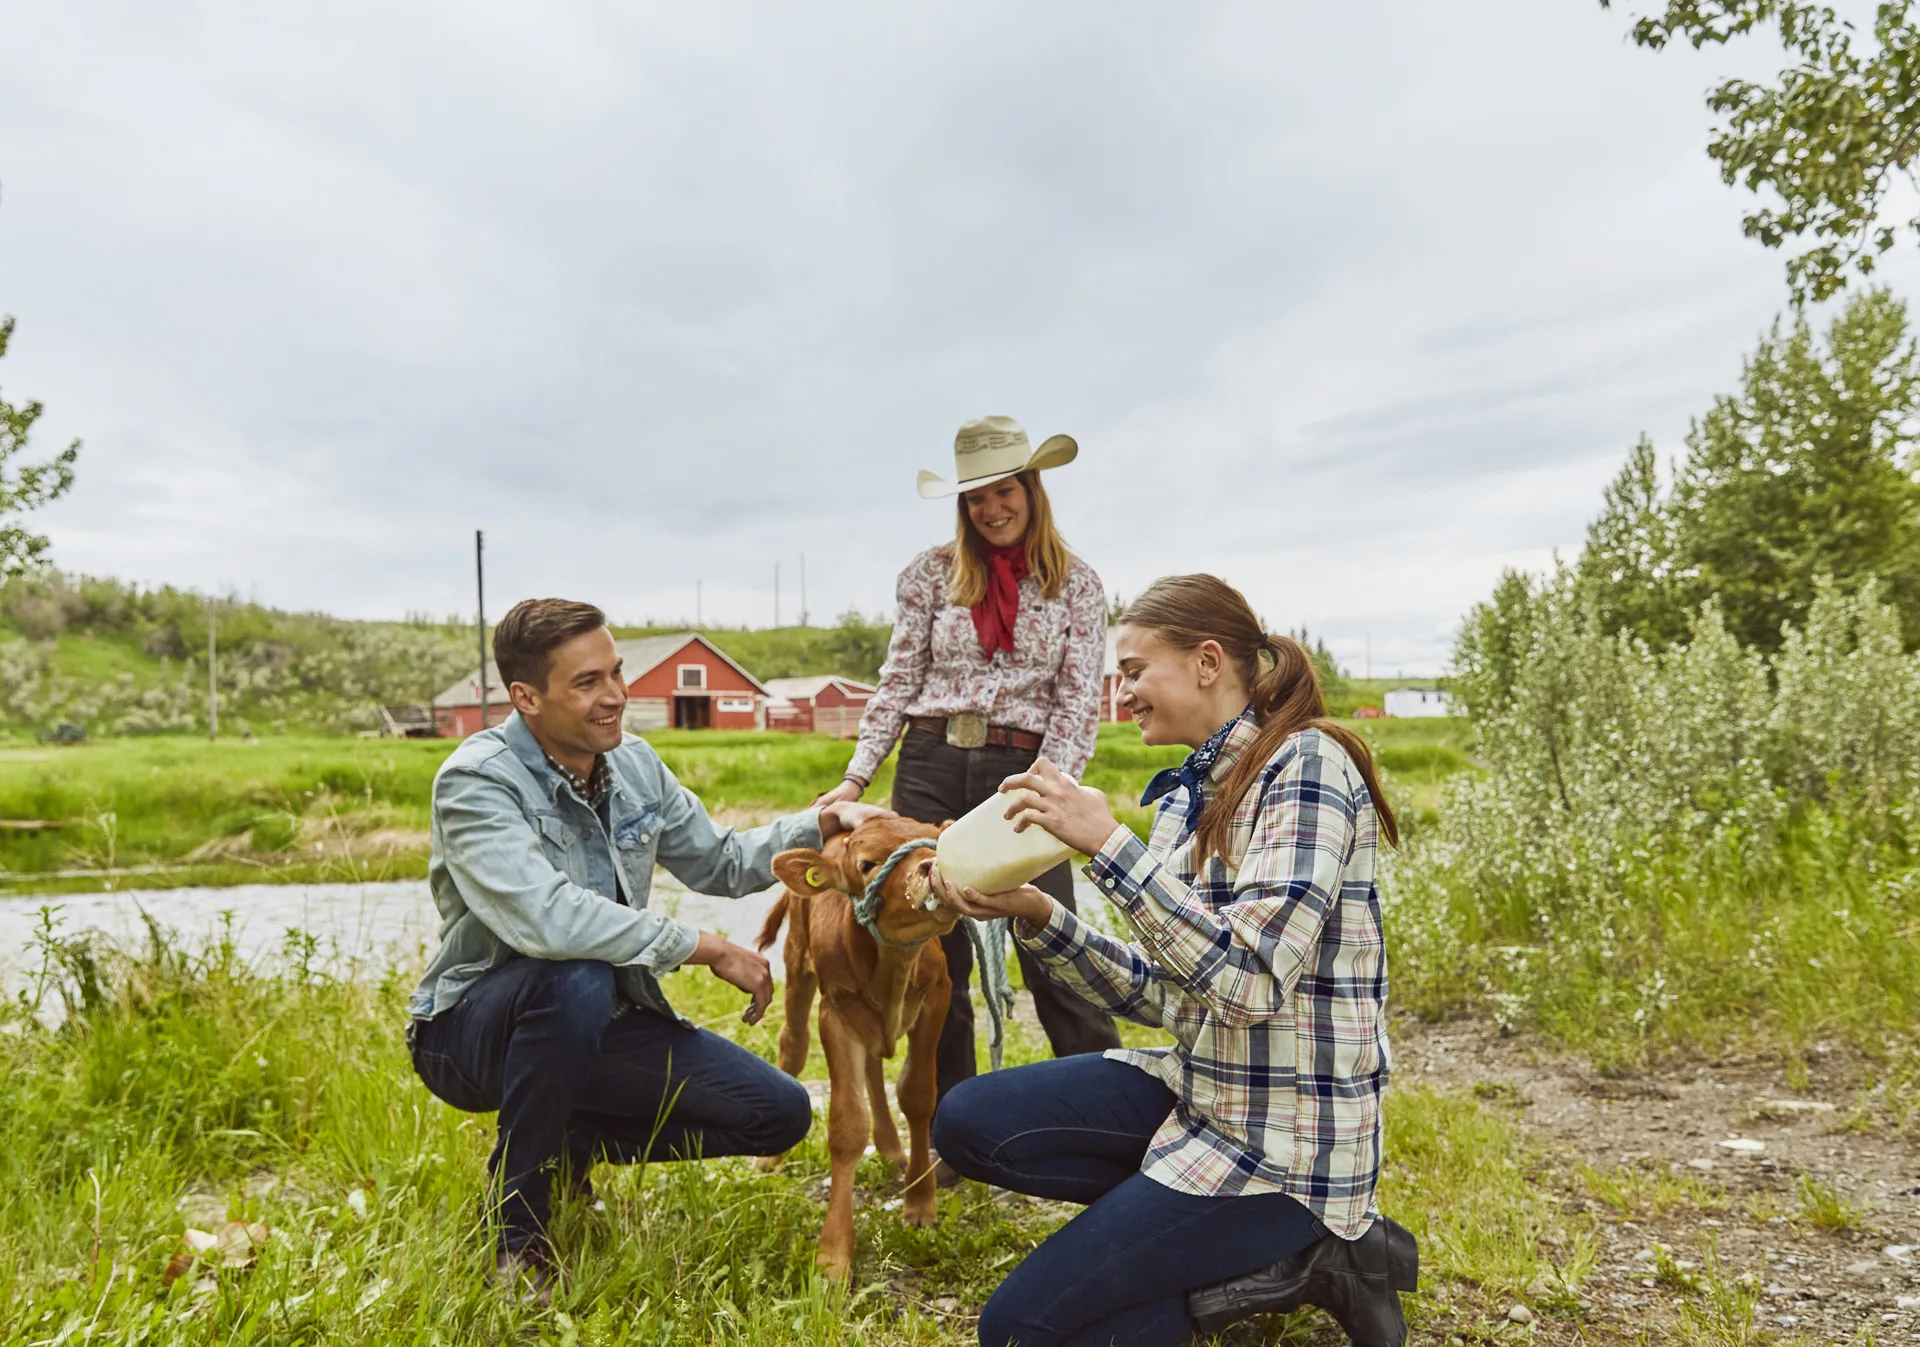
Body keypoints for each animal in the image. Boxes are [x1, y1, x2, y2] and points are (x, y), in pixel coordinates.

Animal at [764, 817, 960, 1281]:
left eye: (938, 842)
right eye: (867, 864)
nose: (931, 868)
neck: (892, 968)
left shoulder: (937, 997)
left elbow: (917, 1096)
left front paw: (920, 1203)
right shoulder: (834, 1014)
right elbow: (848, 1125)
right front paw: (834, 1255)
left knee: (873, 1065)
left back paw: (890, 1147)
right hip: (797, 966)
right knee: (793, 1048)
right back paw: (769, 1160)